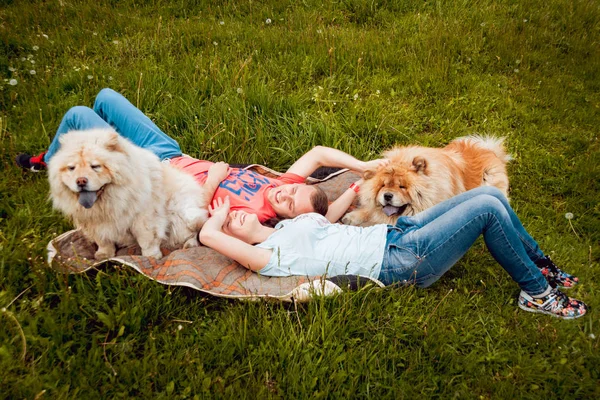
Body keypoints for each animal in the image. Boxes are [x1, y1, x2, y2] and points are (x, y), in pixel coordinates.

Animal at [48, 129, 209, 260]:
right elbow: (103, 240)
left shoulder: (144, 218)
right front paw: (104, 254)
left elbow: (147, 239)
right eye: (71, 168)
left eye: (95, 166)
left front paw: (151, 256)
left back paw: (189, 245)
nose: (81, 181)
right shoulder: (95, 224)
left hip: (183, 215)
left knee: (192, 232)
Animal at [342, 136, 510, 227]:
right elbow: (369, 210)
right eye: (383, 185)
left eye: (402, 187)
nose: (387, 196)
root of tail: (488, 150)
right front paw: (351, 217)